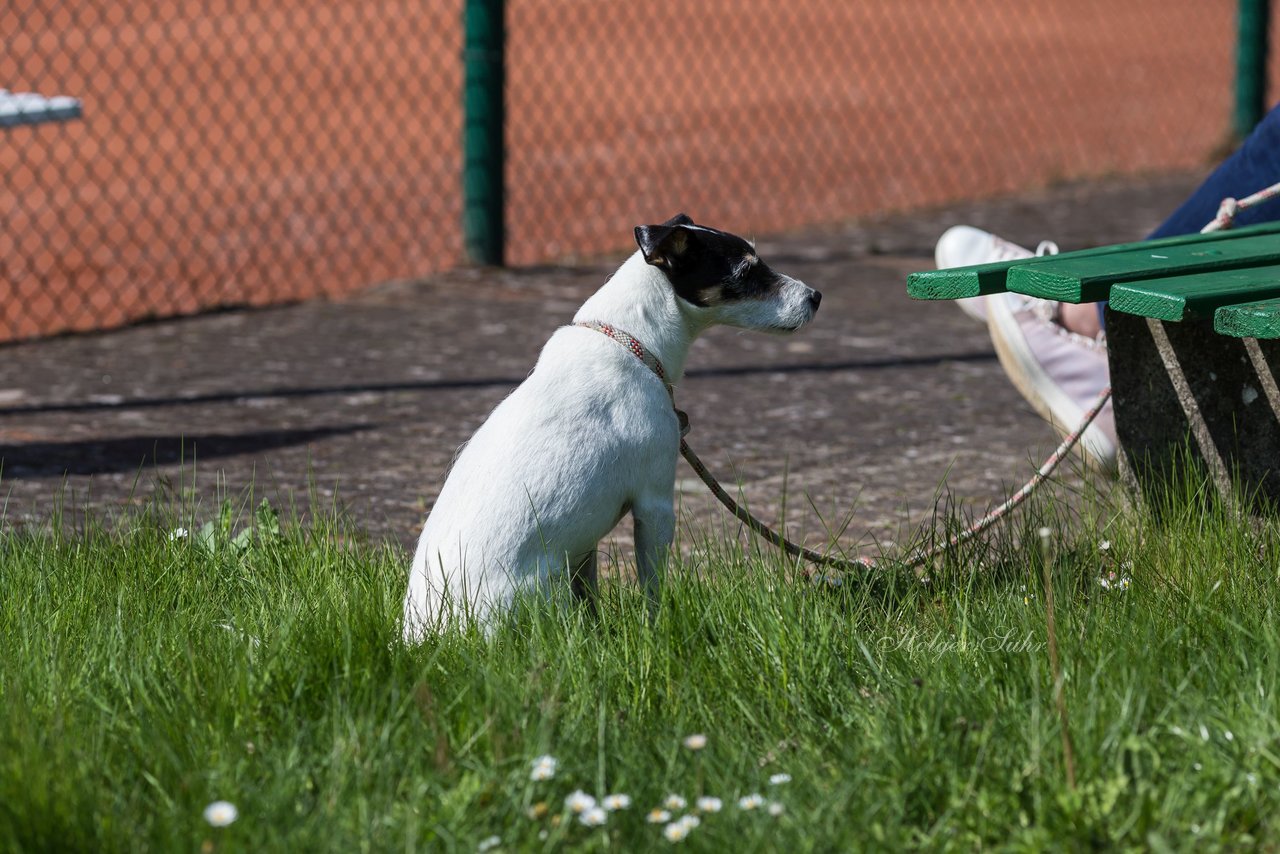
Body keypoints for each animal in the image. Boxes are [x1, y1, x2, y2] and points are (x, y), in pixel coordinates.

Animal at [399, 217, 819, 637]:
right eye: (746, 272)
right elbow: (653, 590)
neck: (632, 341)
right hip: (547, 582)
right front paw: (655, 632)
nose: (816, 296)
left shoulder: (585, 542)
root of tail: (430, 636)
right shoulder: (654, 505)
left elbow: (592, 597)